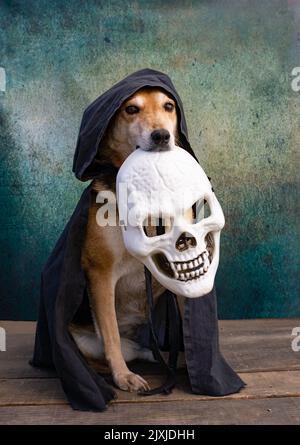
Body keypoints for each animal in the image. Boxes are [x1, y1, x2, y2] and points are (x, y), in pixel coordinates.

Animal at [69, 85, 185, 390]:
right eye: (131, 109)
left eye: (168, 106)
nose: (161, 136)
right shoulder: (100, 273)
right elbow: (110, 334)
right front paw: (123, 376)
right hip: (84, 340)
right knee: (113, 348)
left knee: (147, 350)